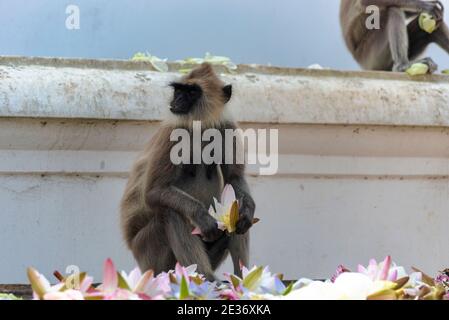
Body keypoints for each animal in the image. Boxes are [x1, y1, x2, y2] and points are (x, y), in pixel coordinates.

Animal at [121, 62, 256, 280]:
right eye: (178, 90)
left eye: (192, 92)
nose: (177, 100)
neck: (200, 126)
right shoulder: (172, 132)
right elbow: (154, 191)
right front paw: (202, 216)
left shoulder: (226, 127)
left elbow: (235, 179)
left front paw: (248, 211)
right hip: (150, 253)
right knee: (170, 212)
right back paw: (204, 277)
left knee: (233, 209)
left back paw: (240, 277)